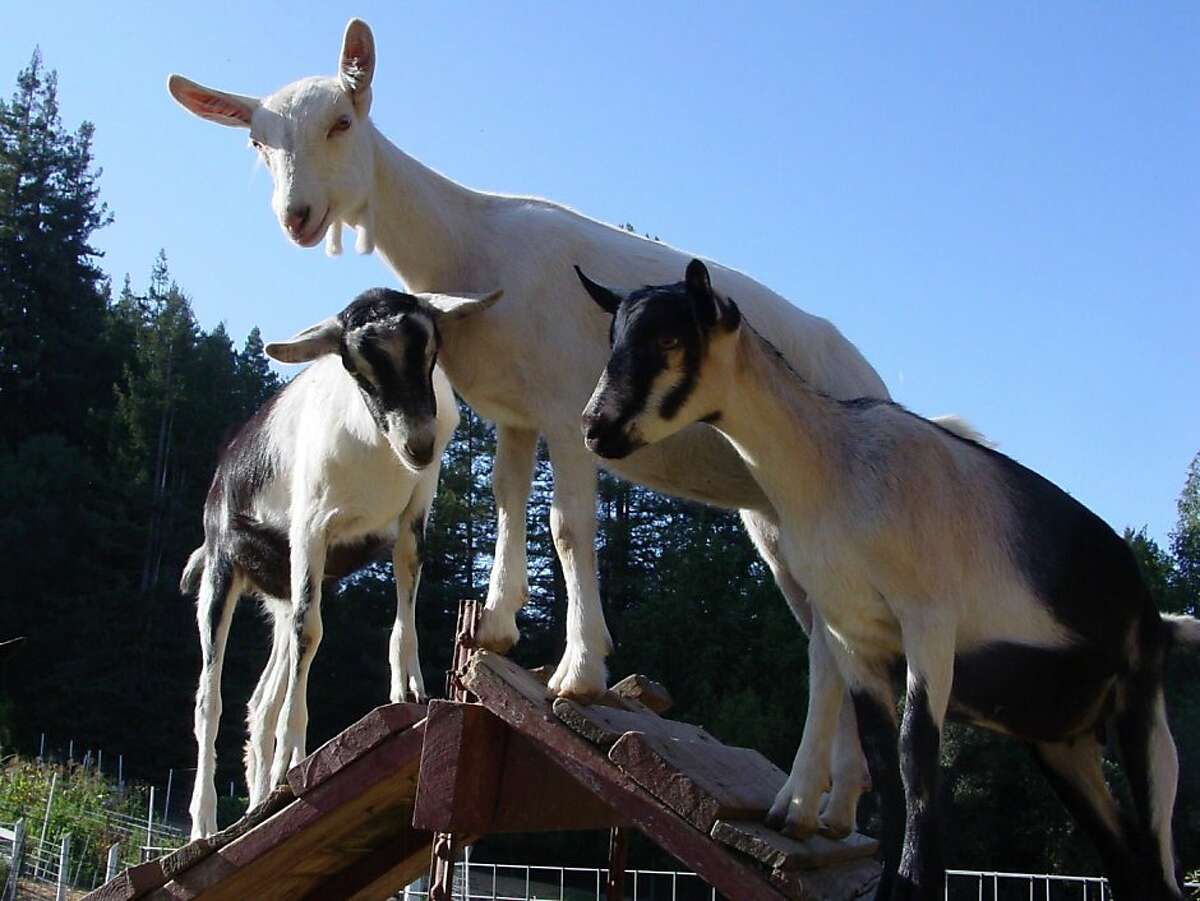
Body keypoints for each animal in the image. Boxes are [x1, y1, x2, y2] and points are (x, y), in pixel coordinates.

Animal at [180, 285, 501, 839]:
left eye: (429, 347)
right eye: (357, 365)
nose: (420, 443)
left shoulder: (413, 515)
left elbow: (404, 600)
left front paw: (409, 689)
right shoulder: (311, 529)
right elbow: (311, 634)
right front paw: (292, 758)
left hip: (281, 591)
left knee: (263, 697)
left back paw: (257, 801)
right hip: (223, 569)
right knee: (209, 697)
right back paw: (205, 822)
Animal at [578, 259, 1199, 901]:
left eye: (671, 340)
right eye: (614, 338)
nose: (596, 427)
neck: (835, 468)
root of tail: (1156, 617)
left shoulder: (928, 620)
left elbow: (914, 751)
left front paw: (918, 880)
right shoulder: (852, 634)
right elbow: (881, 756)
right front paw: (888, 886)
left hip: (1143, 711)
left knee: (1158, 853)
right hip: (1063, 746)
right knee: (1126, 860)